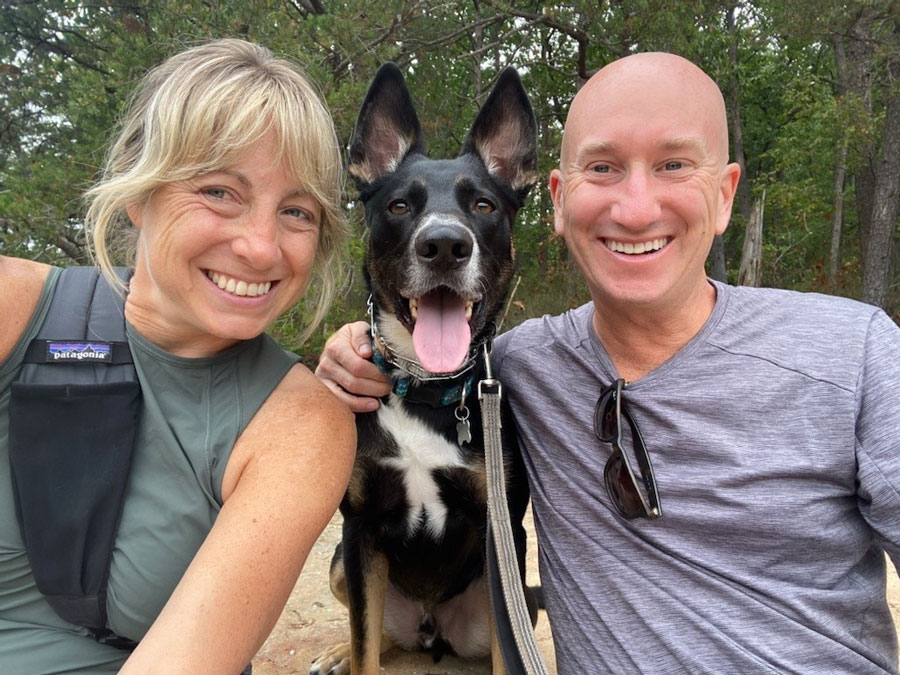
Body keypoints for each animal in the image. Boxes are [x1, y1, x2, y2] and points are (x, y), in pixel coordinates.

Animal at [310, 63, 536, 675]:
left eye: (483, 206)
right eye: (398, 206)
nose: (444, 245)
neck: (426, 388)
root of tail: (431, 629)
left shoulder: (501, 534)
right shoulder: (360, 533)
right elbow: (365, 647)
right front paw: (348, 652)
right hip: (340, 565)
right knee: (377, 637)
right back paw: (337, 652)